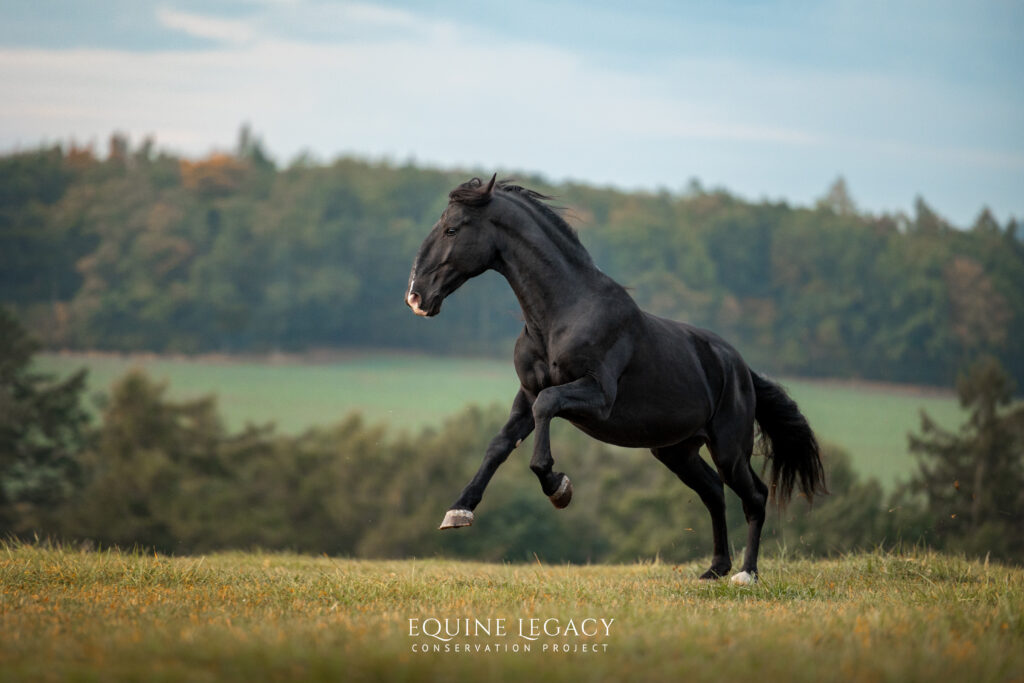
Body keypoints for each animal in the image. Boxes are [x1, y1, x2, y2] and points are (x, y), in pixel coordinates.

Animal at [404, 175, 826, 584]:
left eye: (452, 229)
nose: (416, 297)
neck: (563, 315)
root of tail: (741, 369)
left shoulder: (597, 397)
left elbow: (548, 410)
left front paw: (559, 487)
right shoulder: (526, 395)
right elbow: (499, 445)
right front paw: (459, 511)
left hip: (728, 448)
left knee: (754, 496)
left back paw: (746, 574)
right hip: (677, 450)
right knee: (714, 493)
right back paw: (715, 569)